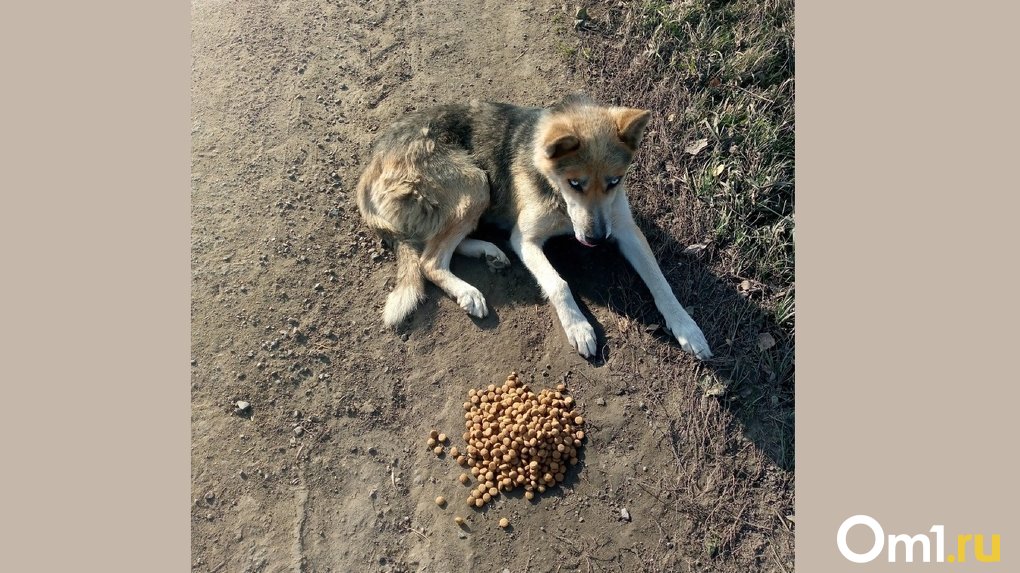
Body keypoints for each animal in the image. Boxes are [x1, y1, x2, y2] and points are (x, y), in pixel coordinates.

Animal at [354, 95, 714, 358]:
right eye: (575, 183)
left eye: (614, 181)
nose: (596, 239)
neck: (557, 194)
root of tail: (373, 163)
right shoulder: (525, 239)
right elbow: (558, 284)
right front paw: (578, 327)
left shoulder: (625, 230)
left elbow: (661, 282)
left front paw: (687, 327)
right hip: (476, 184)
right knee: (429, 260)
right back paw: (468, 291)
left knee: (438, 246)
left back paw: (488, 252)